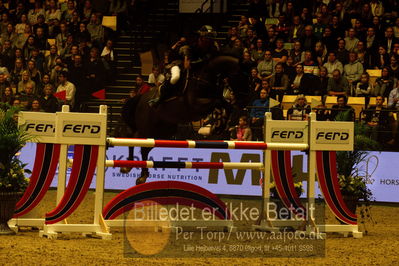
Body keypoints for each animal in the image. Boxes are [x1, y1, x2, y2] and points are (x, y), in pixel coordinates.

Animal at [122, 55, 247, 185]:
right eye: (241, 77)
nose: (244, 101)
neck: (206, 77)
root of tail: (141, 98)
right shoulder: (196, 107)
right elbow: (218, 102)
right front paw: (217, 124)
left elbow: (226, 105)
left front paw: (219, 125)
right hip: (147, 129)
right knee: (136, 142)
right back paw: (133, 170)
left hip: (162, 133)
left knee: (141, 147)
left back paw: (137, 172)